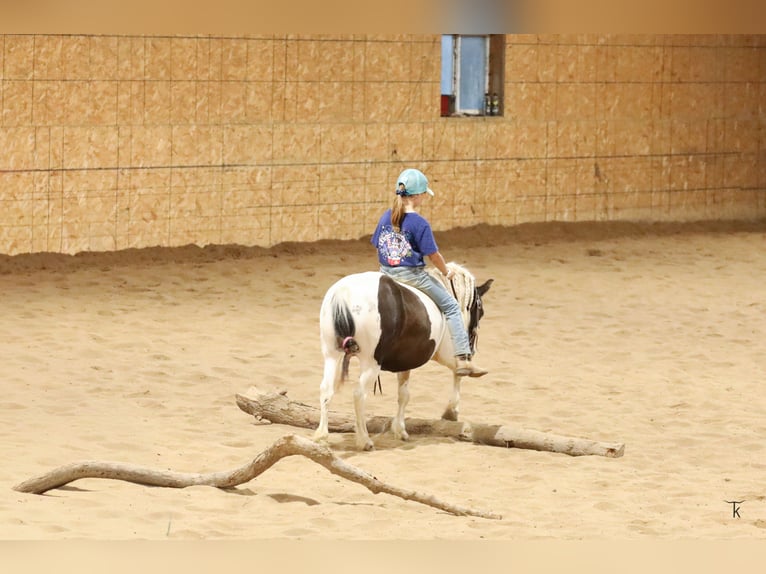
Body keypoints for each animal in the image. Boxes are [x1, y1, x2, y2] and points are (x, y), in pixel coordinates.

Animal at [313, 262, 493, 451]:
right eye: (480, 310)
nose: (473, 348)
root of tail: (343, 295)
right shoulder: (445, 353)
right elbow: (458, 372)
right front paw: (451, 412)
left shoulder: (405, 361)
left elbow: (403, 395)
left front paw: (400, 430)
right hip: (371, 363)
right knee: (359, 394)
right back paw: (364, 440)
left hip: (331, 355)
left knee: (326, 389)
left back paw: (321, 436)